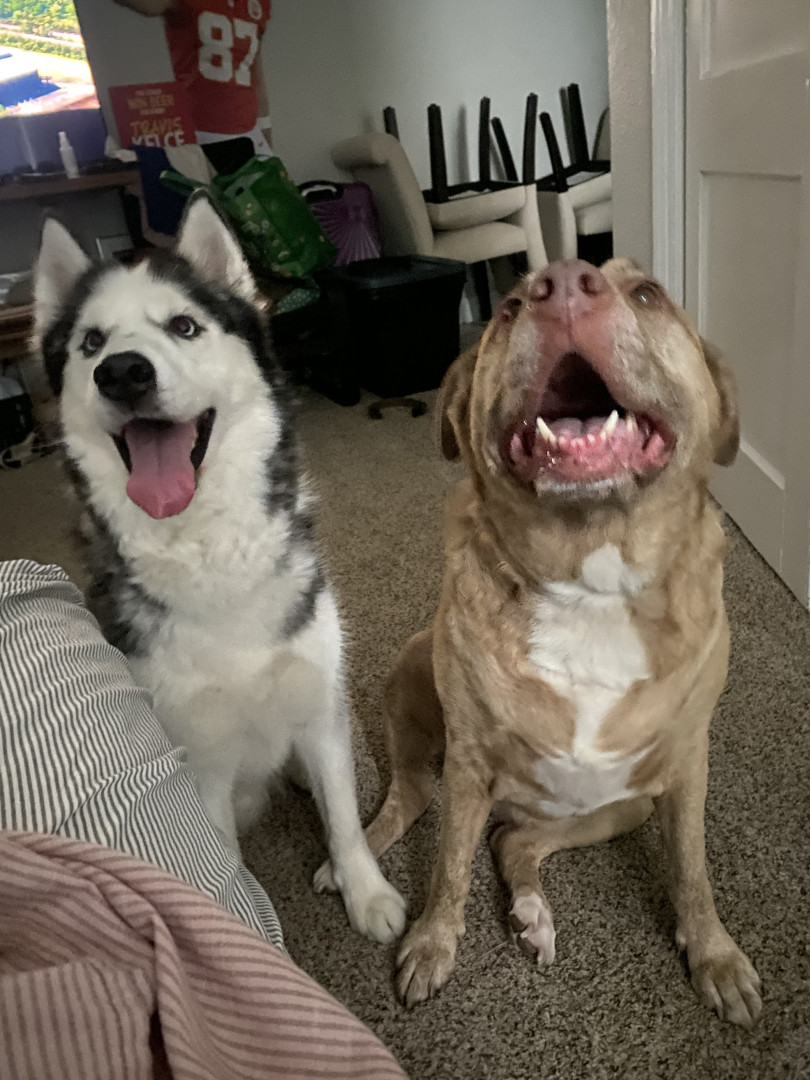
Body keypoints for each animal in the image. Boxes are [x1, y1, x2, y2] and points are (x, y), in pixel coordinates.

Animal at [32, 193, 406, 944]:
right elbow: (226, 866)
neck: (208, 553)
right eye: (90, 344)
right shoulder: (201, 763)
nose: (123, 372)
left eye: (184, 325)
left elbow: (344, 819)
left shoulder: (316, 708)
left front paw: (366, 891)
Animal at [353, 258, 761, 1023]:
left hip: (620, 806)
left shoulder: (686, 763)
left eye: (648, 293)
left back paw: (533, 913)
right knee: (416, 798)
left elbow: (692, 871)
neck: (591, 580)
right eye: (508, 308)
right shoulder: (470, 760)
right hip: (409, 673)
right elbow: (448, 866)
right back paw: (356, 860)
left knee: (514, 840)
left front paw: (714, 956)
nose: (564, 282)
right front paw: (432, 942)